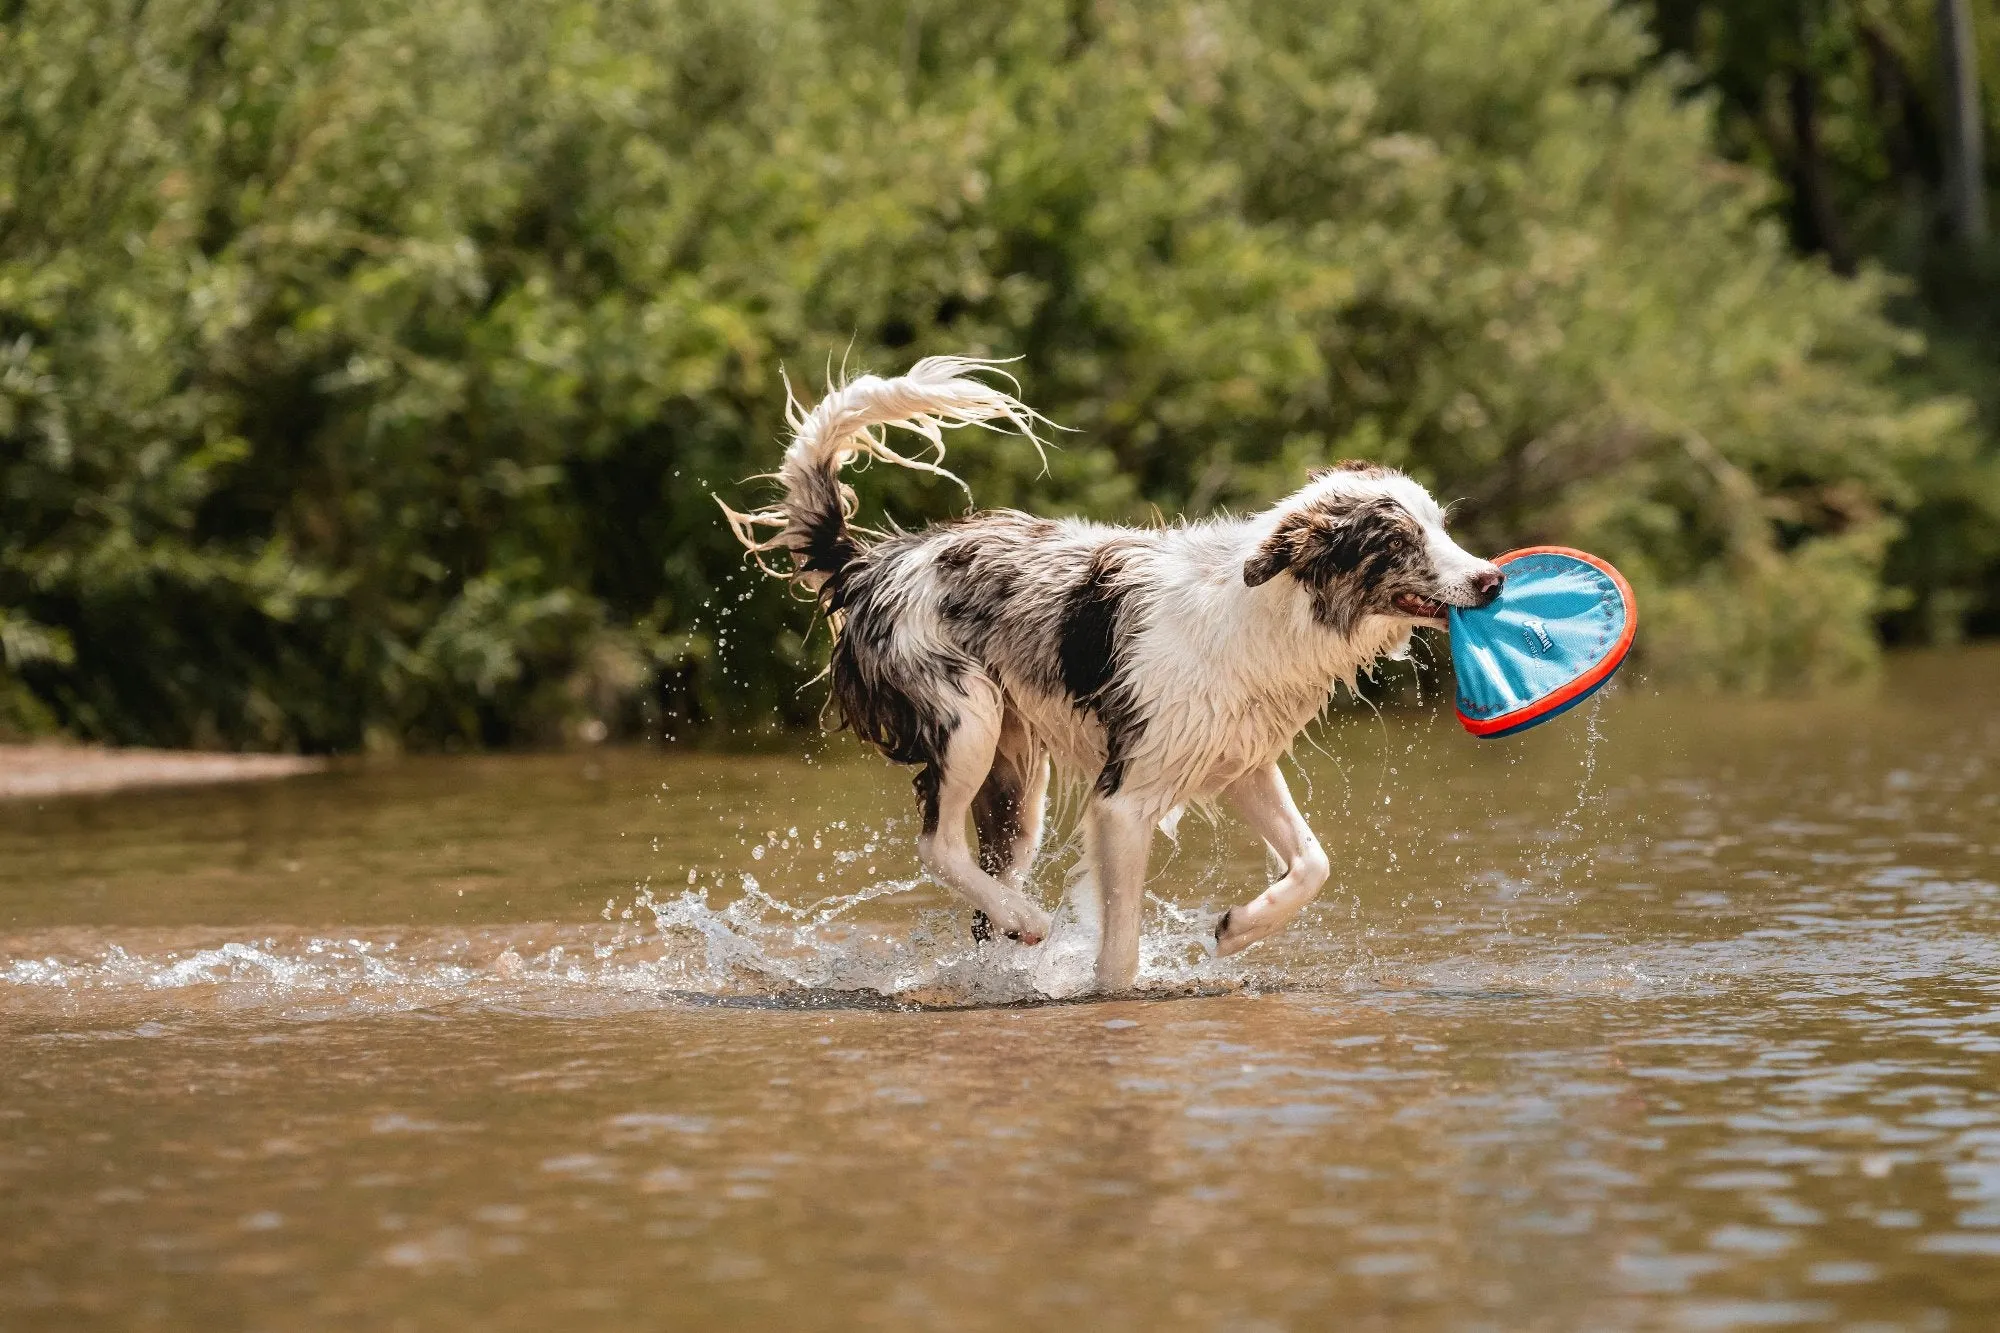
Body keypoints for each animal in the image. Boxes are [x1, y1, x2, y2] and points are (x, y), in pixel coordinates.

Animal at [724, 352, 1504, 984]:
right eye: (1399, 542)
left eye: (1440, 526)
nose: (1493, 579)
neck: (1267, 608)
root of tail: (869, 563)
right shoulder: (1123, 799)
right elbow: (1120, 954)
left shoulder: (1240, 762)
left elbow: (1314, 863)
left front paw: (1237, 929)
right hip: (966, 717)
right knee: (934, 844)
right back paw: (1027, 918)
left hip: (1016, 784)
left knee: (980, 894)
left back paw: (1010, 935)